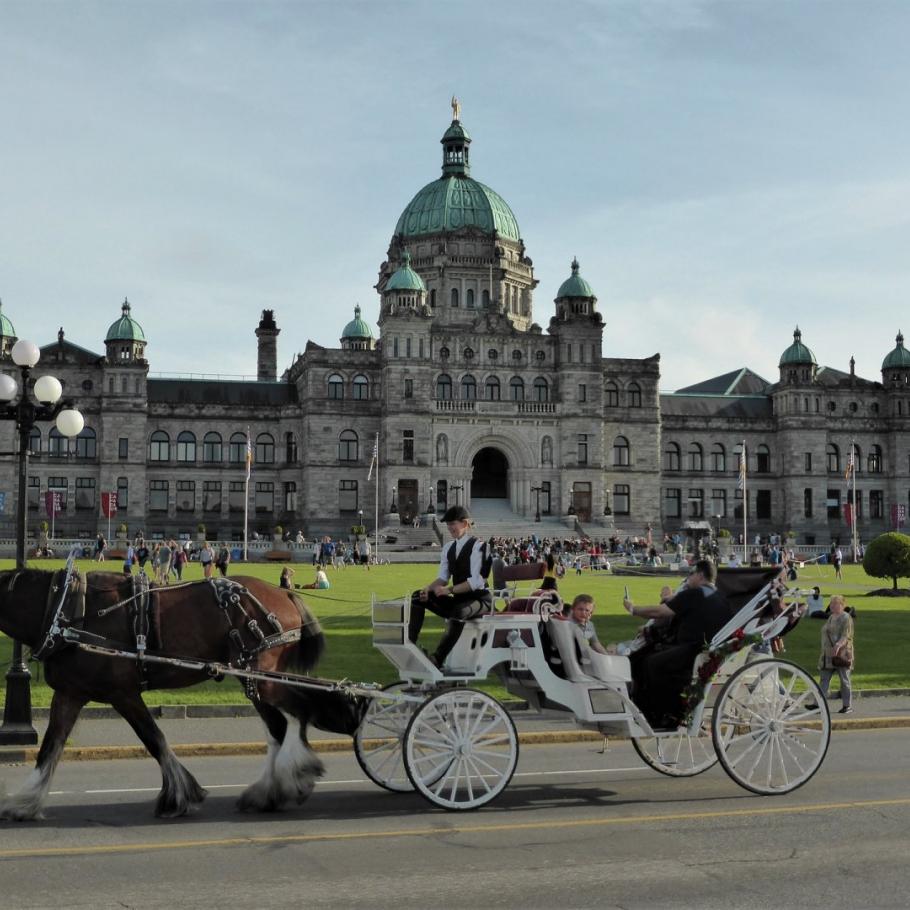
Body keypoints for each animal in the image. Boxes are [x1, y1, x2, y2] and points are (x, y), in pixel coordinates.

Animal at [0, 568, 364, 820]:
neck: (66, 611)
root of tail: (285, 594)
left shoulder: (123, 693)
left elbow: (154, 739)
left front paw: (178, 795)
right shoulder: (71, 693)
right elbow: (51, 747)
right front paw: (25, 802)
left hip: (260, 678)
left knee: (297, 713)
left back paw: (291, 777)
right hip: (254, 677)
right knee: (285, 722)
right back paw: (272, 790)